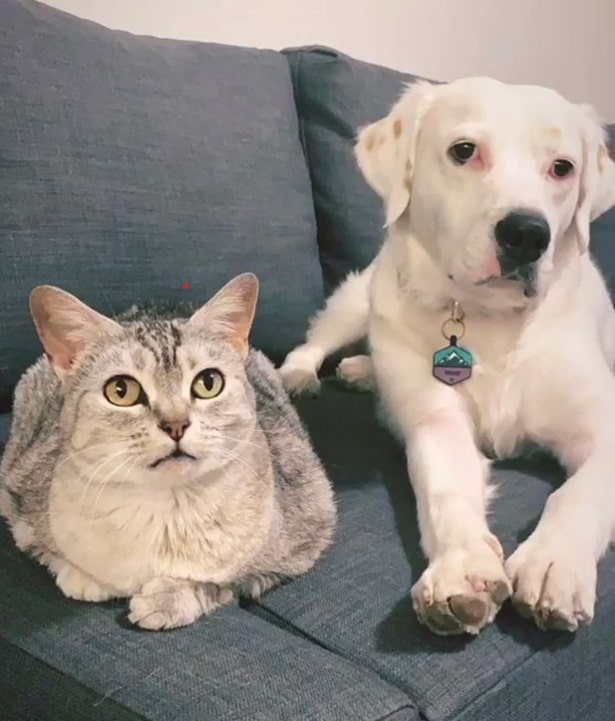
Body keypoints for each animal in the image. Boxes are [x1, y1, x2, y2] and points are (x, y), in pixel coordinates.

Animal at [0, 272, 336, 628]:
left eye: (209, 382)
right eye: (121, 390)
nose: (176, 424)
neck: (166, 509)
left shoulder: (307, 533)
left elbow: (225, 582)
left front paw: (169, 598)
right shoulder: (16, 491)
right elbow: (46, 550)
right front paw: (83, 578)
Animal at [280, 74, 615, 636]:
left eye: (562, 167)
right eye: (464, 151)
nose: (527, 234)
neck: (493, 323)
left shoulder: (604, 423)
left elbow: (579, 493)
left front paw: (553, 563)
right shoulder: (437, 423)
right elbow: (445, 494)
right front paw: (462, 569)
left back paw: (361, 371)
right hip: (357, 298)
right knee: (314, 341)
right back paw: (303, 374)